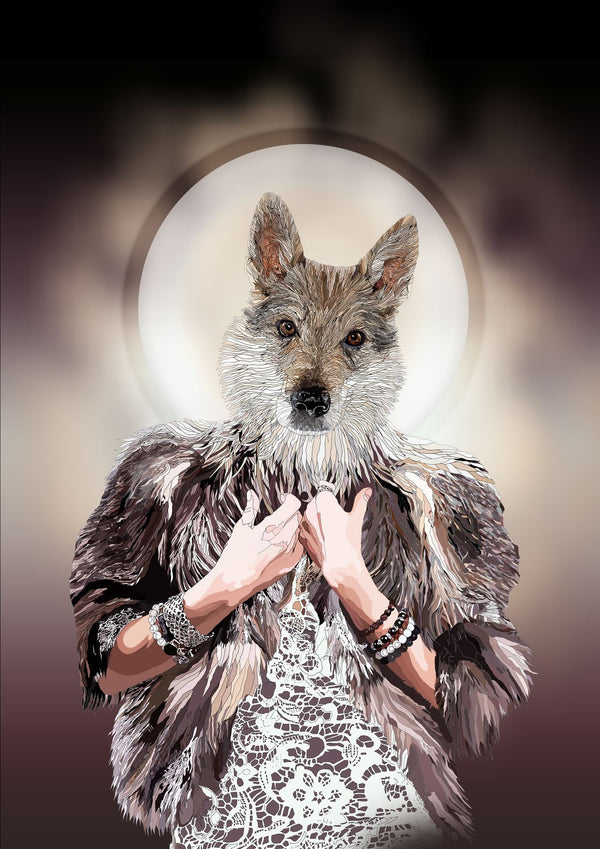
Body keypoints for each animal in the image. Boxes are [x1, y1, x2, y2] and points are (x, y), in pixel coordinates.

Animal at [70, 192, 534, 842]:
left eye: (355, 338)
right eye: (287, 328)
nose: (311, 399)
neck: (305, 468)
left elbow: (473, 670)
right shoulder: (139, 498)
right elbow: (114, 617)